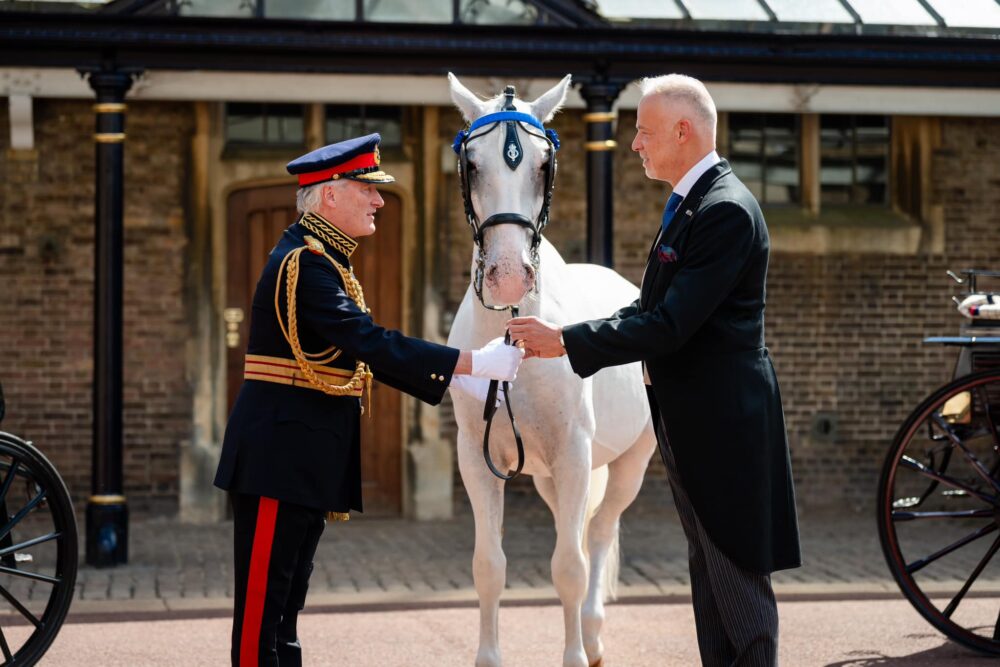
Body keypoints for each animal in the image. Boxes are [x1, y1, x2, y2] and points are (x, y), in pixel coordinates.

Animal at [450, 73, 660, 667]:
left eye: (544, 164)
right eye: (471, 163)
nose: (507, 276)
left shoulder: (573, 455)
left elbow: (569, 567)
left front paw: (574, 655)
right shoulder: (475, 458)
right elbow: (488, 567)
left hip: (629, 462)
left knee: (600, 533)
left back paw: (591, 636)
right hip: (547, 475)